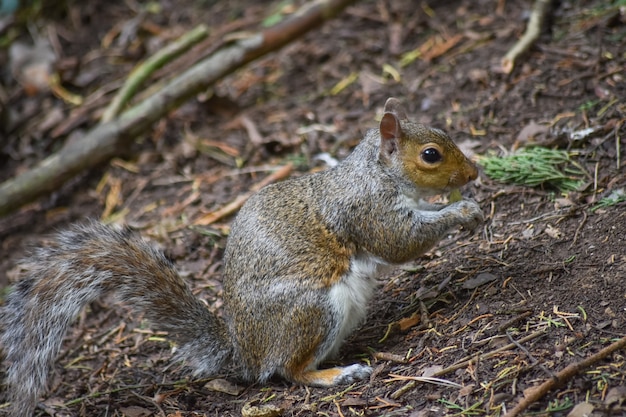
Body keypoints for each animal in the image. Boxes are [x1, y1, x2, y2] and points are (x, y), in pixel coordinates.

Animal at [0, 97, 482, 412]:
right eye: (431, 155)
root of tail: (243, 354)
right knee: (288, 371)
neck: (377, 172)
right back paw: (336, 374)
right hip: (312, 308)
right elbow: (400, 241)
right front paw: (461, 211)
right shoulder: (367, 211)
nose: (474, 172)